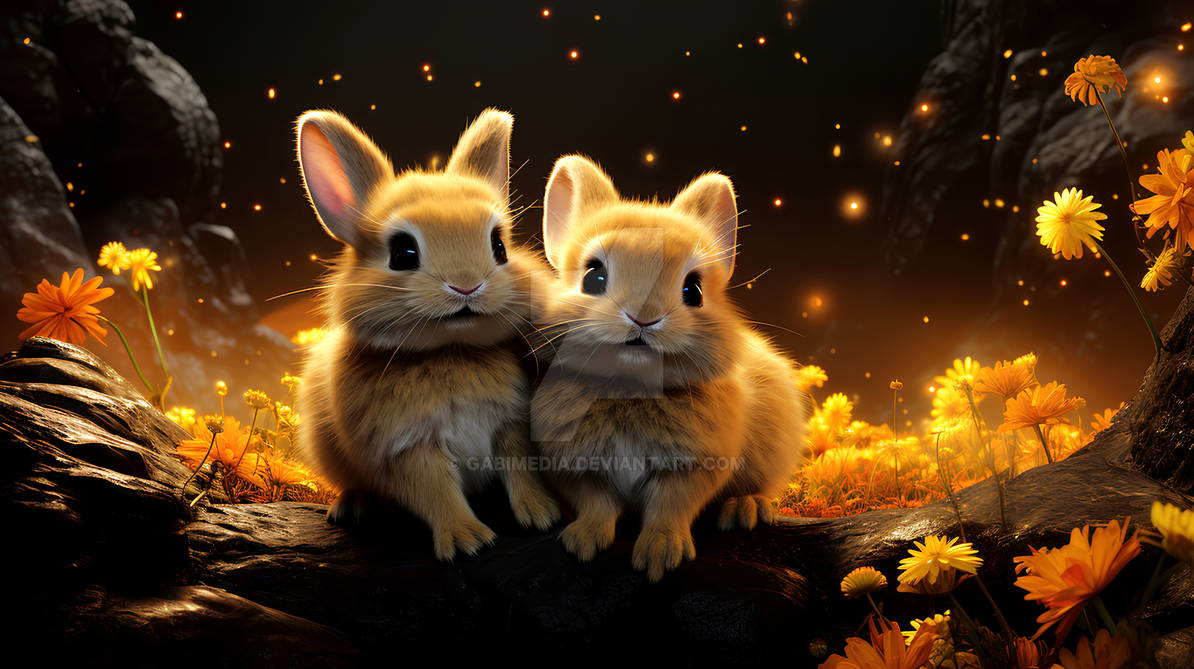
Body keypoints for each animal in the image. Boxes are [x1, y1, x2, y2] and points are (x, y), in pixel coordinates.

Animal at [294, 108, 560, 561]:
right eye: (403, 253)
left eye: (499, 247)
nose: (467, 286)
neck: (452, 350)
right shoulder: (405, 448)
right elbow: (435, 492)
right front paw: (467, 540)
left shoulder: (511, 425)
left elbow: (521, 469)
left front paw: (542, 514)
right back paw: (352, 506)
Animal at [530, 155, 811, 581]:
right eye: (593, 277)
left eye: (692, 290)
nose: (643, 318)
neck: (632, 387)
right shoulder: (578, 468)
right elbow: (597, 505)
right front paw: (582, 542)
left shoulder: (691, 469)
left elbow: (670, 507)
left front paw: (661, 555)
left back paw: (745, 509)